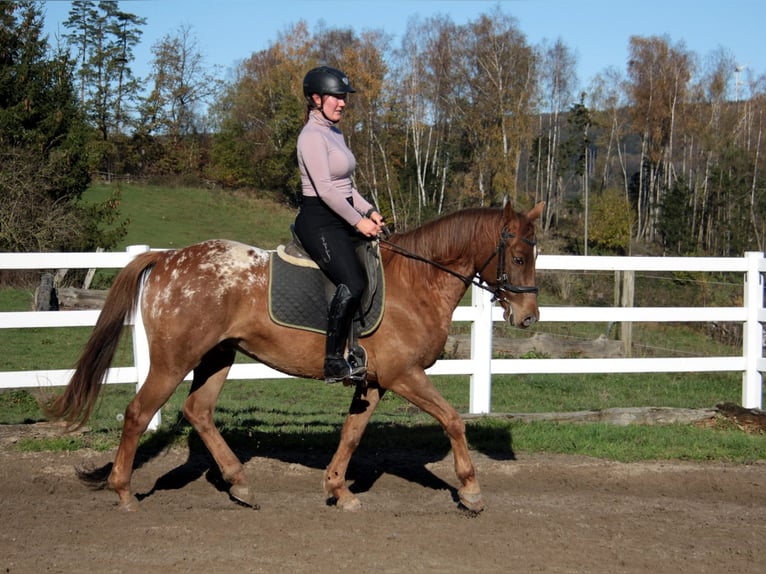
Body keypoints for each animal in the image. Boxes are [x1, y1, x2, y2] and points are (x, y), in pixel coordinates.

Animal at [46, 201, 544, 512]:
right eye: (519, 257)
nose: (528, 317)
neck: (416, 282)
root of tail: (166, 259)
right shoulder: (405, 375)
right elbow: (454, 421)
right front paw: (471, 491)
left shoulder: (374, 382)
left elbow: (351, 435)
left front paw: (339, 491)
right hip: (172, 361)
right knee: (138, 413)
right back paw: (125, 493)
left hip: (217, 356)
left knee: (198, 410)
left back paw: (240, 484)